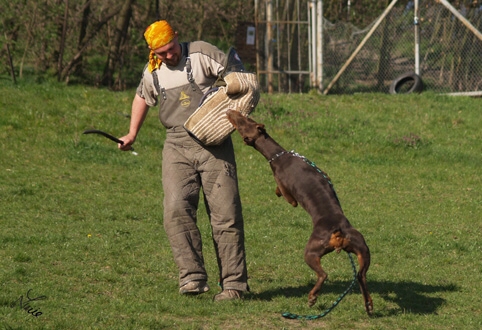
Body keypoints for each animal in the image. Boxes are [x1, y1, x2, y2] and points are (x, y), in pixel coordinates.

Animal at [226, 110, 372, 314]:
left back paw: (312, 297)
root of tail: (338, 232)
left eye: (241, 122)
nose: (230, 112)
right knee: (361, 276)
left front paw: (276, 192)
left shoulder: (287, 192)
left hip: (311, 251)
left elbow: (283, 193)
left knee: (323, 274)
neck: (278, 154)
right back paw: (368, 304)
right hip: (362, 248)